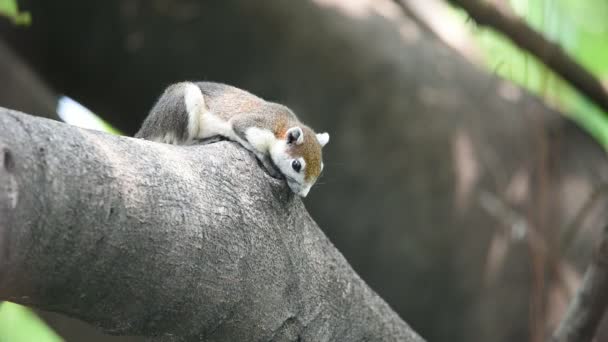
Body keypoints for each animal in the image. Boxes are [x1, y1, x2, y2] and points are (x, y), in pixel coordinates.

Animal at [136, 81, 330, 196]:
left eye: (321, 168)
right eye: (296, 165)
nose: (303, 194)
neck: (281, 124)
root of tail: (146, 128)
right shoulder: (251, 125)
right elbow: (250, 141)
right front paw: (269, 164)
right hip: (184, 102)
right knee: (180, 142)